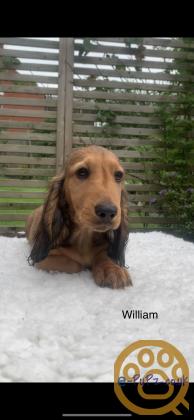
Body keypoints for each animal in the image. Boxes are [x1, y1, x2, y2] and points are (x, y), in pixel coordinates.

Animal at [25, 145, 132, 288]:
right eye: (82, 172)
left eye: (119, 175)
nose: (108, 211)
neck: (84, 236)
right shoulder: (44, 260)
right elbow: (75, 264)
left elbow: (105, 256)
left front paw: (113, 270)